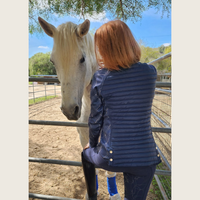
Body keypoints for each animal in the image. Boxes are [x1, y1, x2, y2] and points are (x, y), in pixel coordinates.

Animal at [38, 17, 121, 200]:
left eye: (82, 59)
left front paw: (114, 194)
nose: (70, 110)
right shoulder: (84, 138)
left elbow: (110, 171)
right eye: (53, 61)